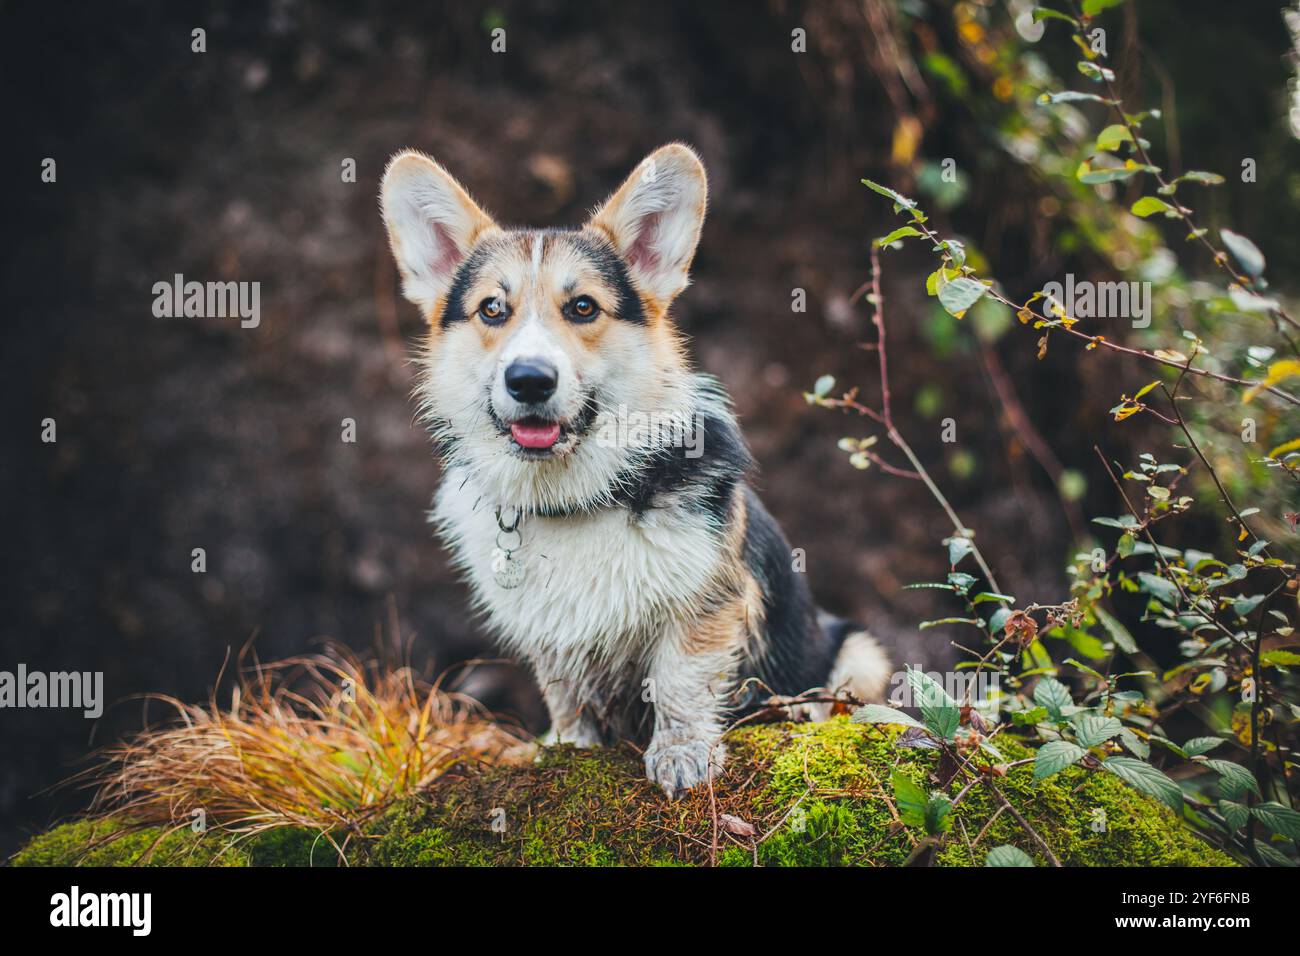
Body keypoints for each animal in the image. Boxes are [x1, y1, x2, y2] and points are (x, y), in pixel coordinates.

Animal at [379, 143, 894, 801]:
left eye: (583, 307)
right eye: (492, 309)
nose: (528, 380)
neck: (577, 496)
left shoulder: (705, 605)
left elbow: (679, 679)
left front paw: (681, 756)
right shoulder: (552, 639)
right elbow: (567, 697)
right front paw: (566, 750)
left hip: (859, 650)